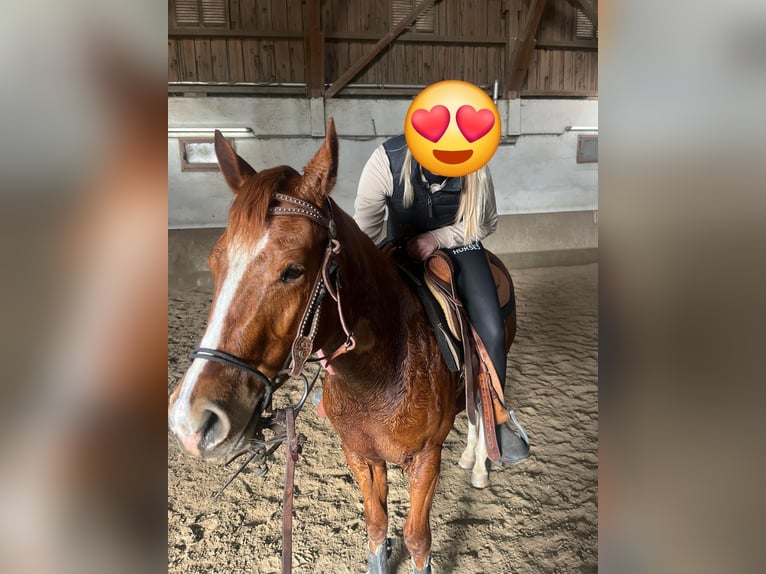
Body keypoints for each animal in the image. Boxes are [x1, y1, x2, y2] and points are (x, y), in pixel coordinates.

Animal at [168, 118, 516, 573]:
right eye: (215, 262)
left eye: (294, 270)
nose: (191, 420)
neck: (380, 374)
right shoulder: (361, 455)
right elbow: (377, 523)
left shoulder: (425, 460)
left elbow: (417, 537)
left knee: (481, 407)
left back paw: (478, 465)